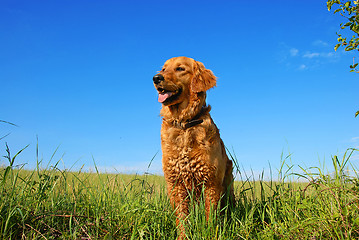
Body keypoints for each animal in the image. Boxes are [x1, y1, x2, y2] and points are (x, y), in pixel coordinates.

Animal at [154, 56, 236, 238]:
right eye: (163, 69)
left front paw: (211, 234)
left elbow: (210, 216)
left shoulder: (211, 182)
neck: (184, 124)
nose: (156, 78)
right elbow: (182, 218)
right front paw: (182, 237)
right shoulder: (176, 184)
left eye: (180, 69)